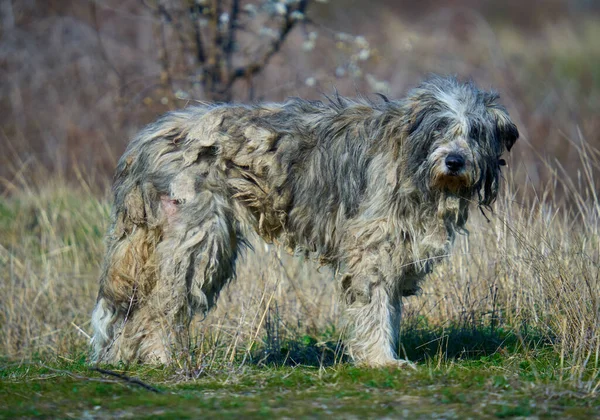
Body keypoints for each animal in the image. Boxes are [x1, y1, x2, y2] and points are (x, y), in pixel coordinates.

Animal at [91, 76, 516, 368]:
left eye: (475, 132)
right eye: (439, 129)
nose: (454, 161)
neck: (412, 160)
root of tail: (146, 140)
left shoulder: (396, 249)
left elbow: (390, 307)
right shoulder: (372, 246)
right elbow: (375, 306)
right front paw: (381, 360)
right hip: (198, 236)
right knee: (158, 306)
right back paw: (160, 357)